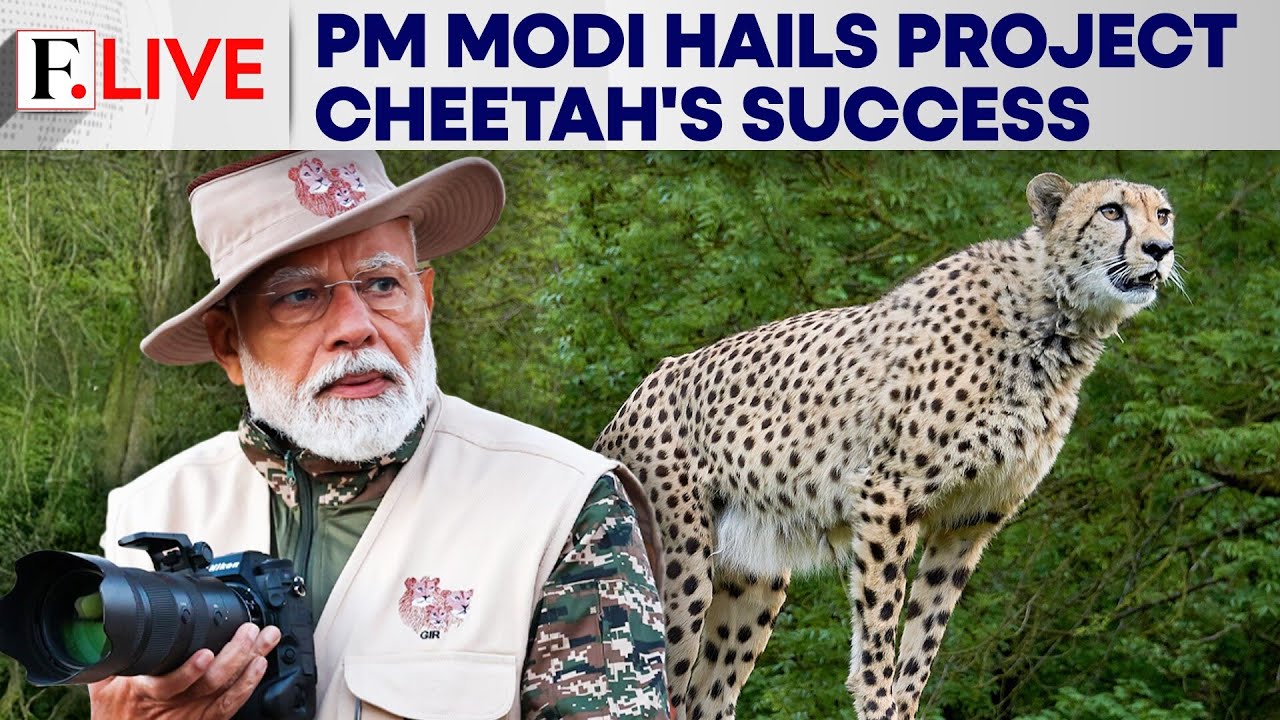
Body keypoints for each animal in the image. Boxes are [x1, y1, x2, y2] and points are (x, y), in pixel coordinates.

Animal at [594, 173, 1179, 720]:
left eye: (1163, 214)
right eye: (1111, 211)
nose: (1160, 249)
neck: (1054, 320)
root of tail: (634, 395)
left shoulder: (970, 520)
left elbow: (924, 637)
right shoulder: (886, 496)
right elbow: (881, 628)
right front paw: (876, 702)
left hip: (753, 577)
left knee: (704, 695)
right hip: (679, 565)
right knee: (661, 678)